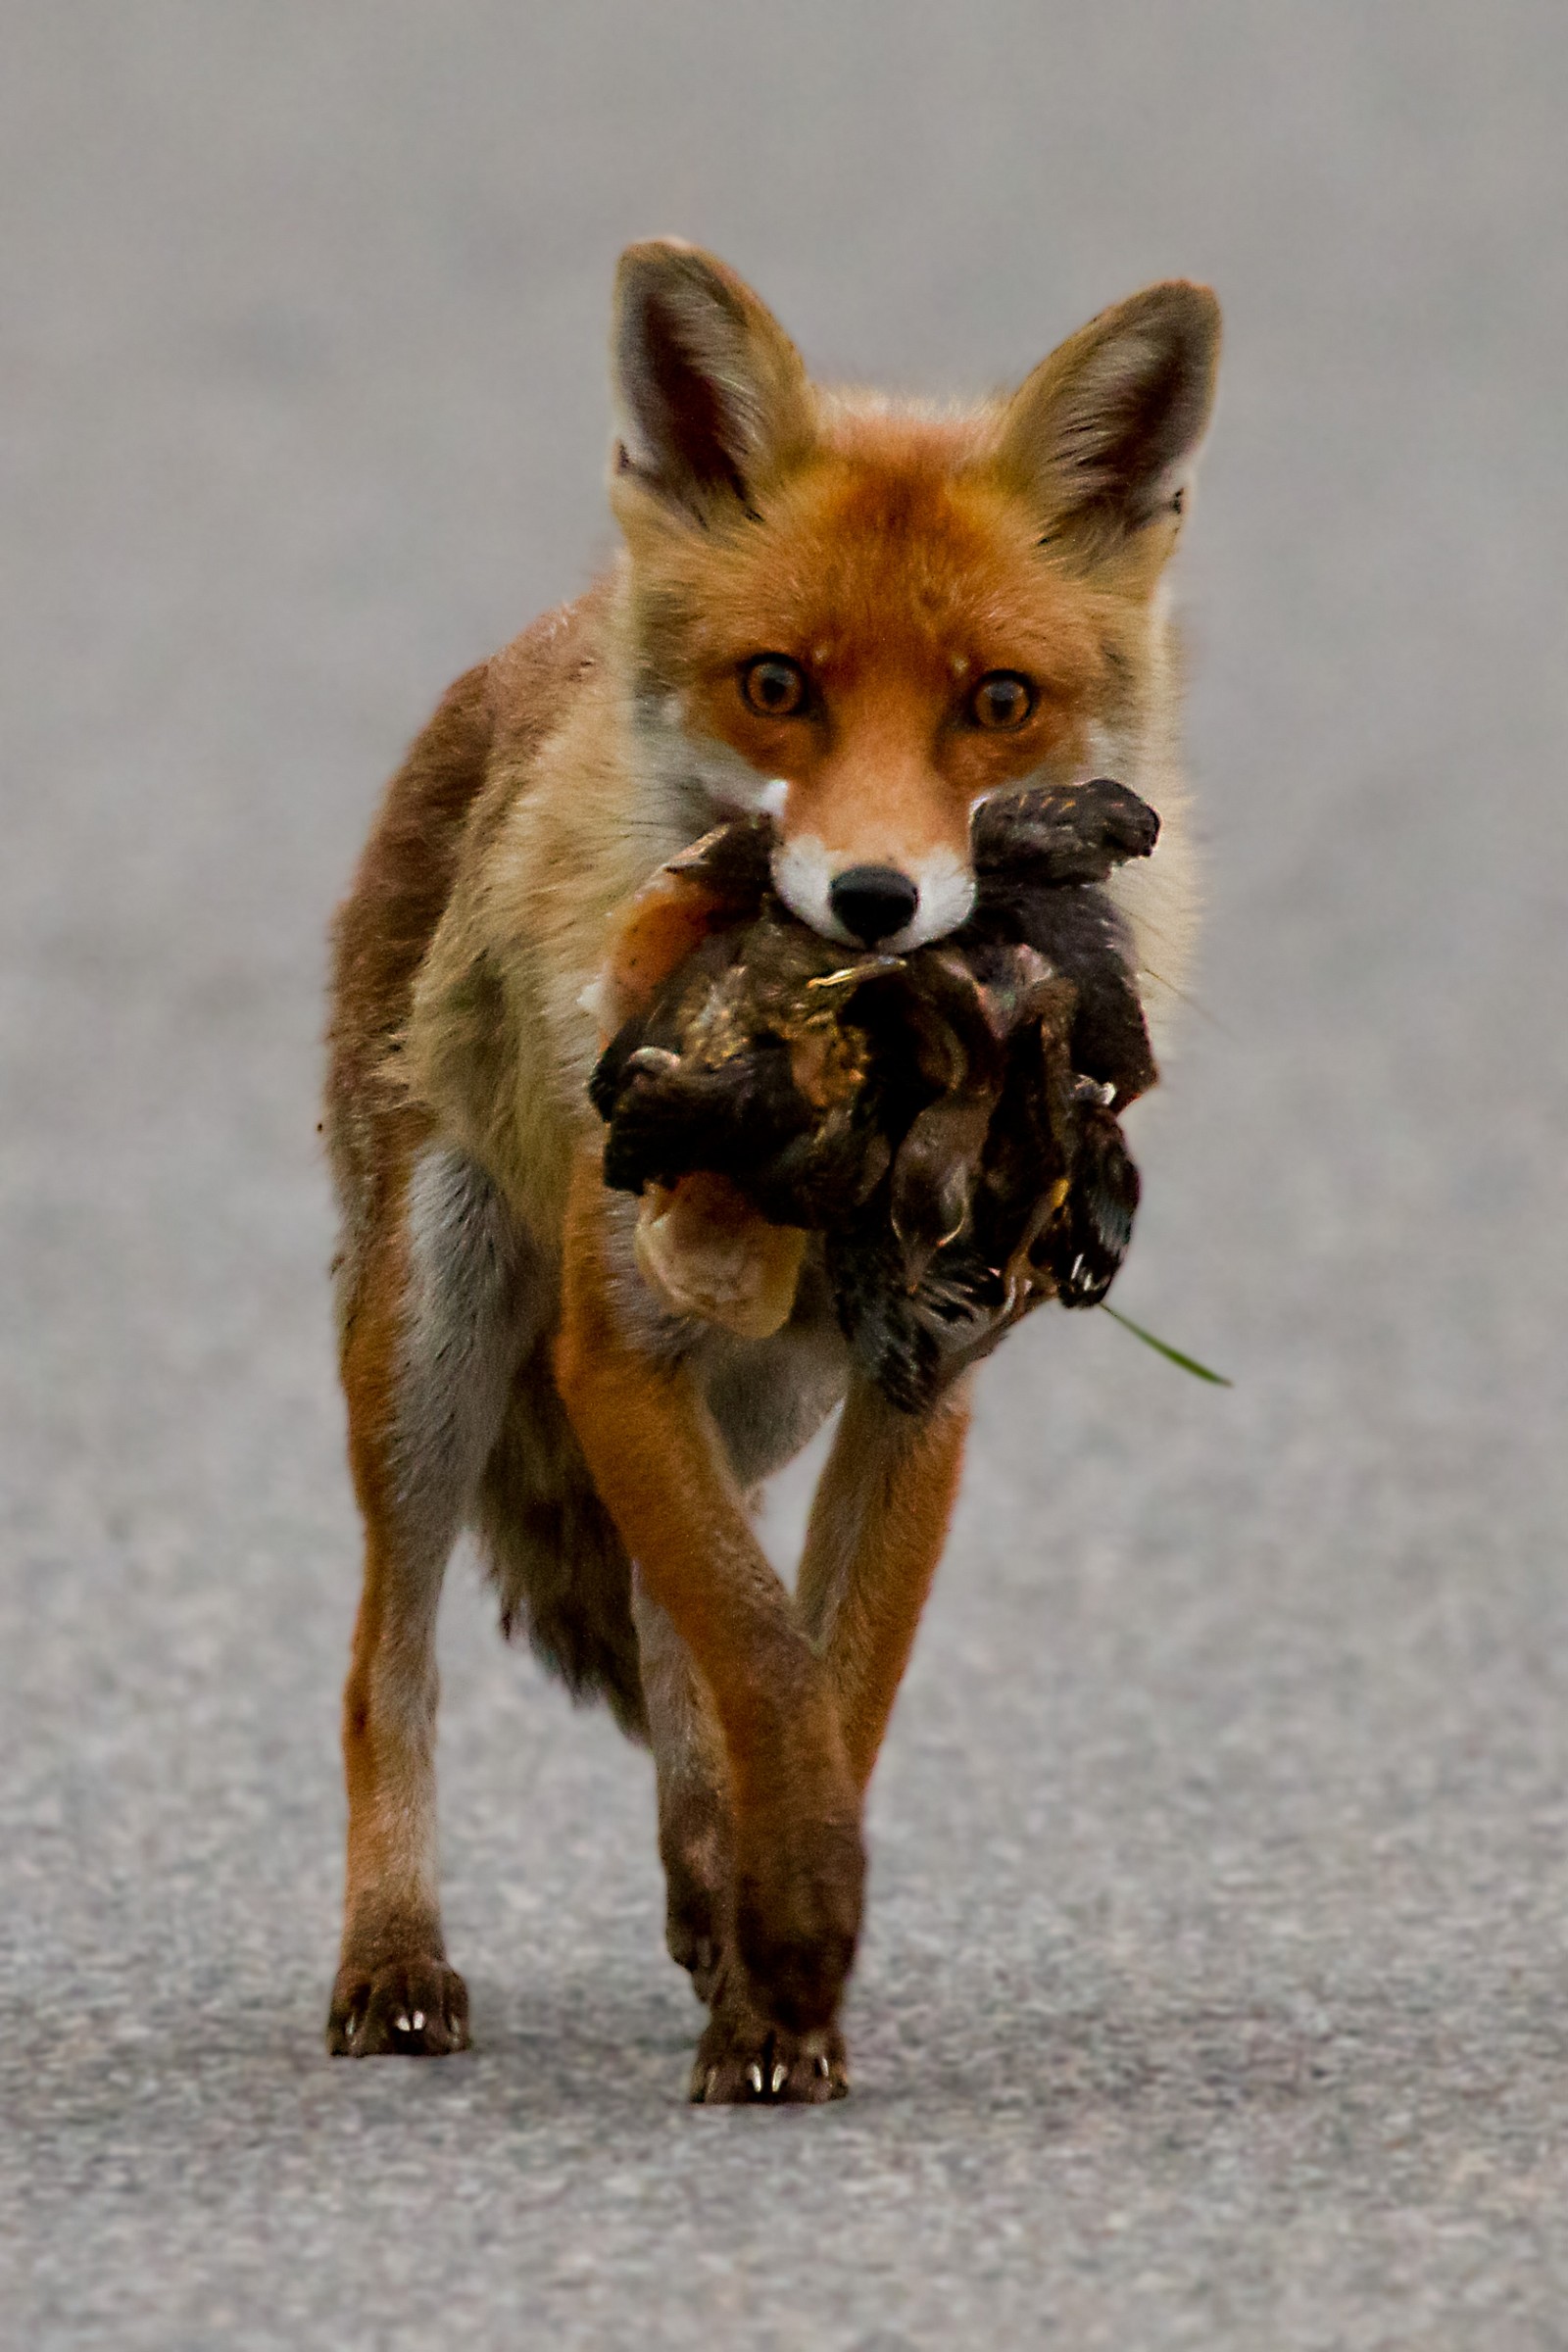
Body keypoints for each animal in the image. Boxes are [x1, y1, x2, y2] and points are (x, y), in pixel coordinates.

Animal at [323, 240, 1220, 2102]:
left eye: (997, 704)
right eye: (778, 685)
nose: (875, 903)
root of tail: (530, 649)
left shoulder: (919, 1381)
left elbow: (824, 1673)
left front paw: (778, 1968)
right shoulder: (617, 1347)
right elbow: (759, 1648)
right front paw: (796, 1939)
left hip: (758, 1399)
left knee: (667, 1634)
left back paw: (702, 1883)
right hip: (437, 1350)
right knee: (390, 1672)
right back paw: (398, 1962)